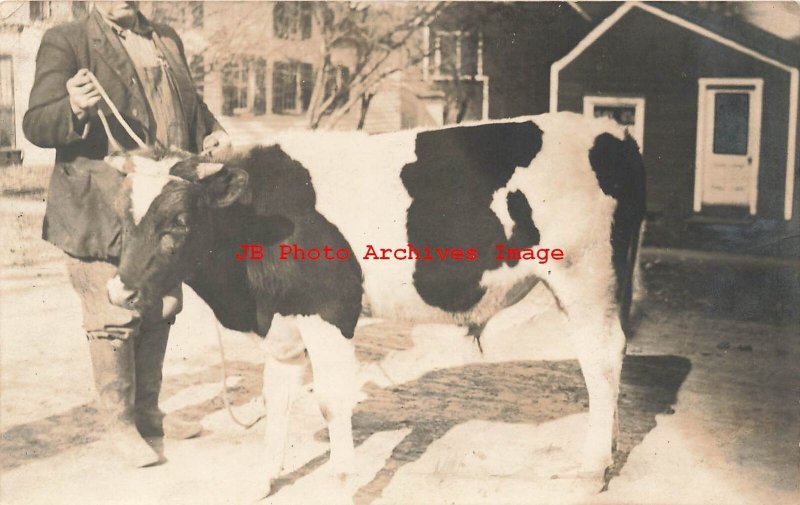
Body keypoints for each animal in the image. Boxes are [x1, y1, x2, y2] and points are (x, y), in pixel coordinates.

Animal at [104, 113, 644, 492]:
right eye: (124, 218)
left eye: (179, 221)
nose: (119, 292)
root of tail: (613, 131)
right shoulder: (282, 319)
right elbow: (276, 399)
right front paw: (262, 480)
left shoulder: (328, 309)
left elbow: (329, 400)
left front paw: (342, 482)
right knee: (610, 359)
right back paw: (610, 450)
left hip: (584, 276)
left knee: (601, 360)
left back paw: (591, 469)